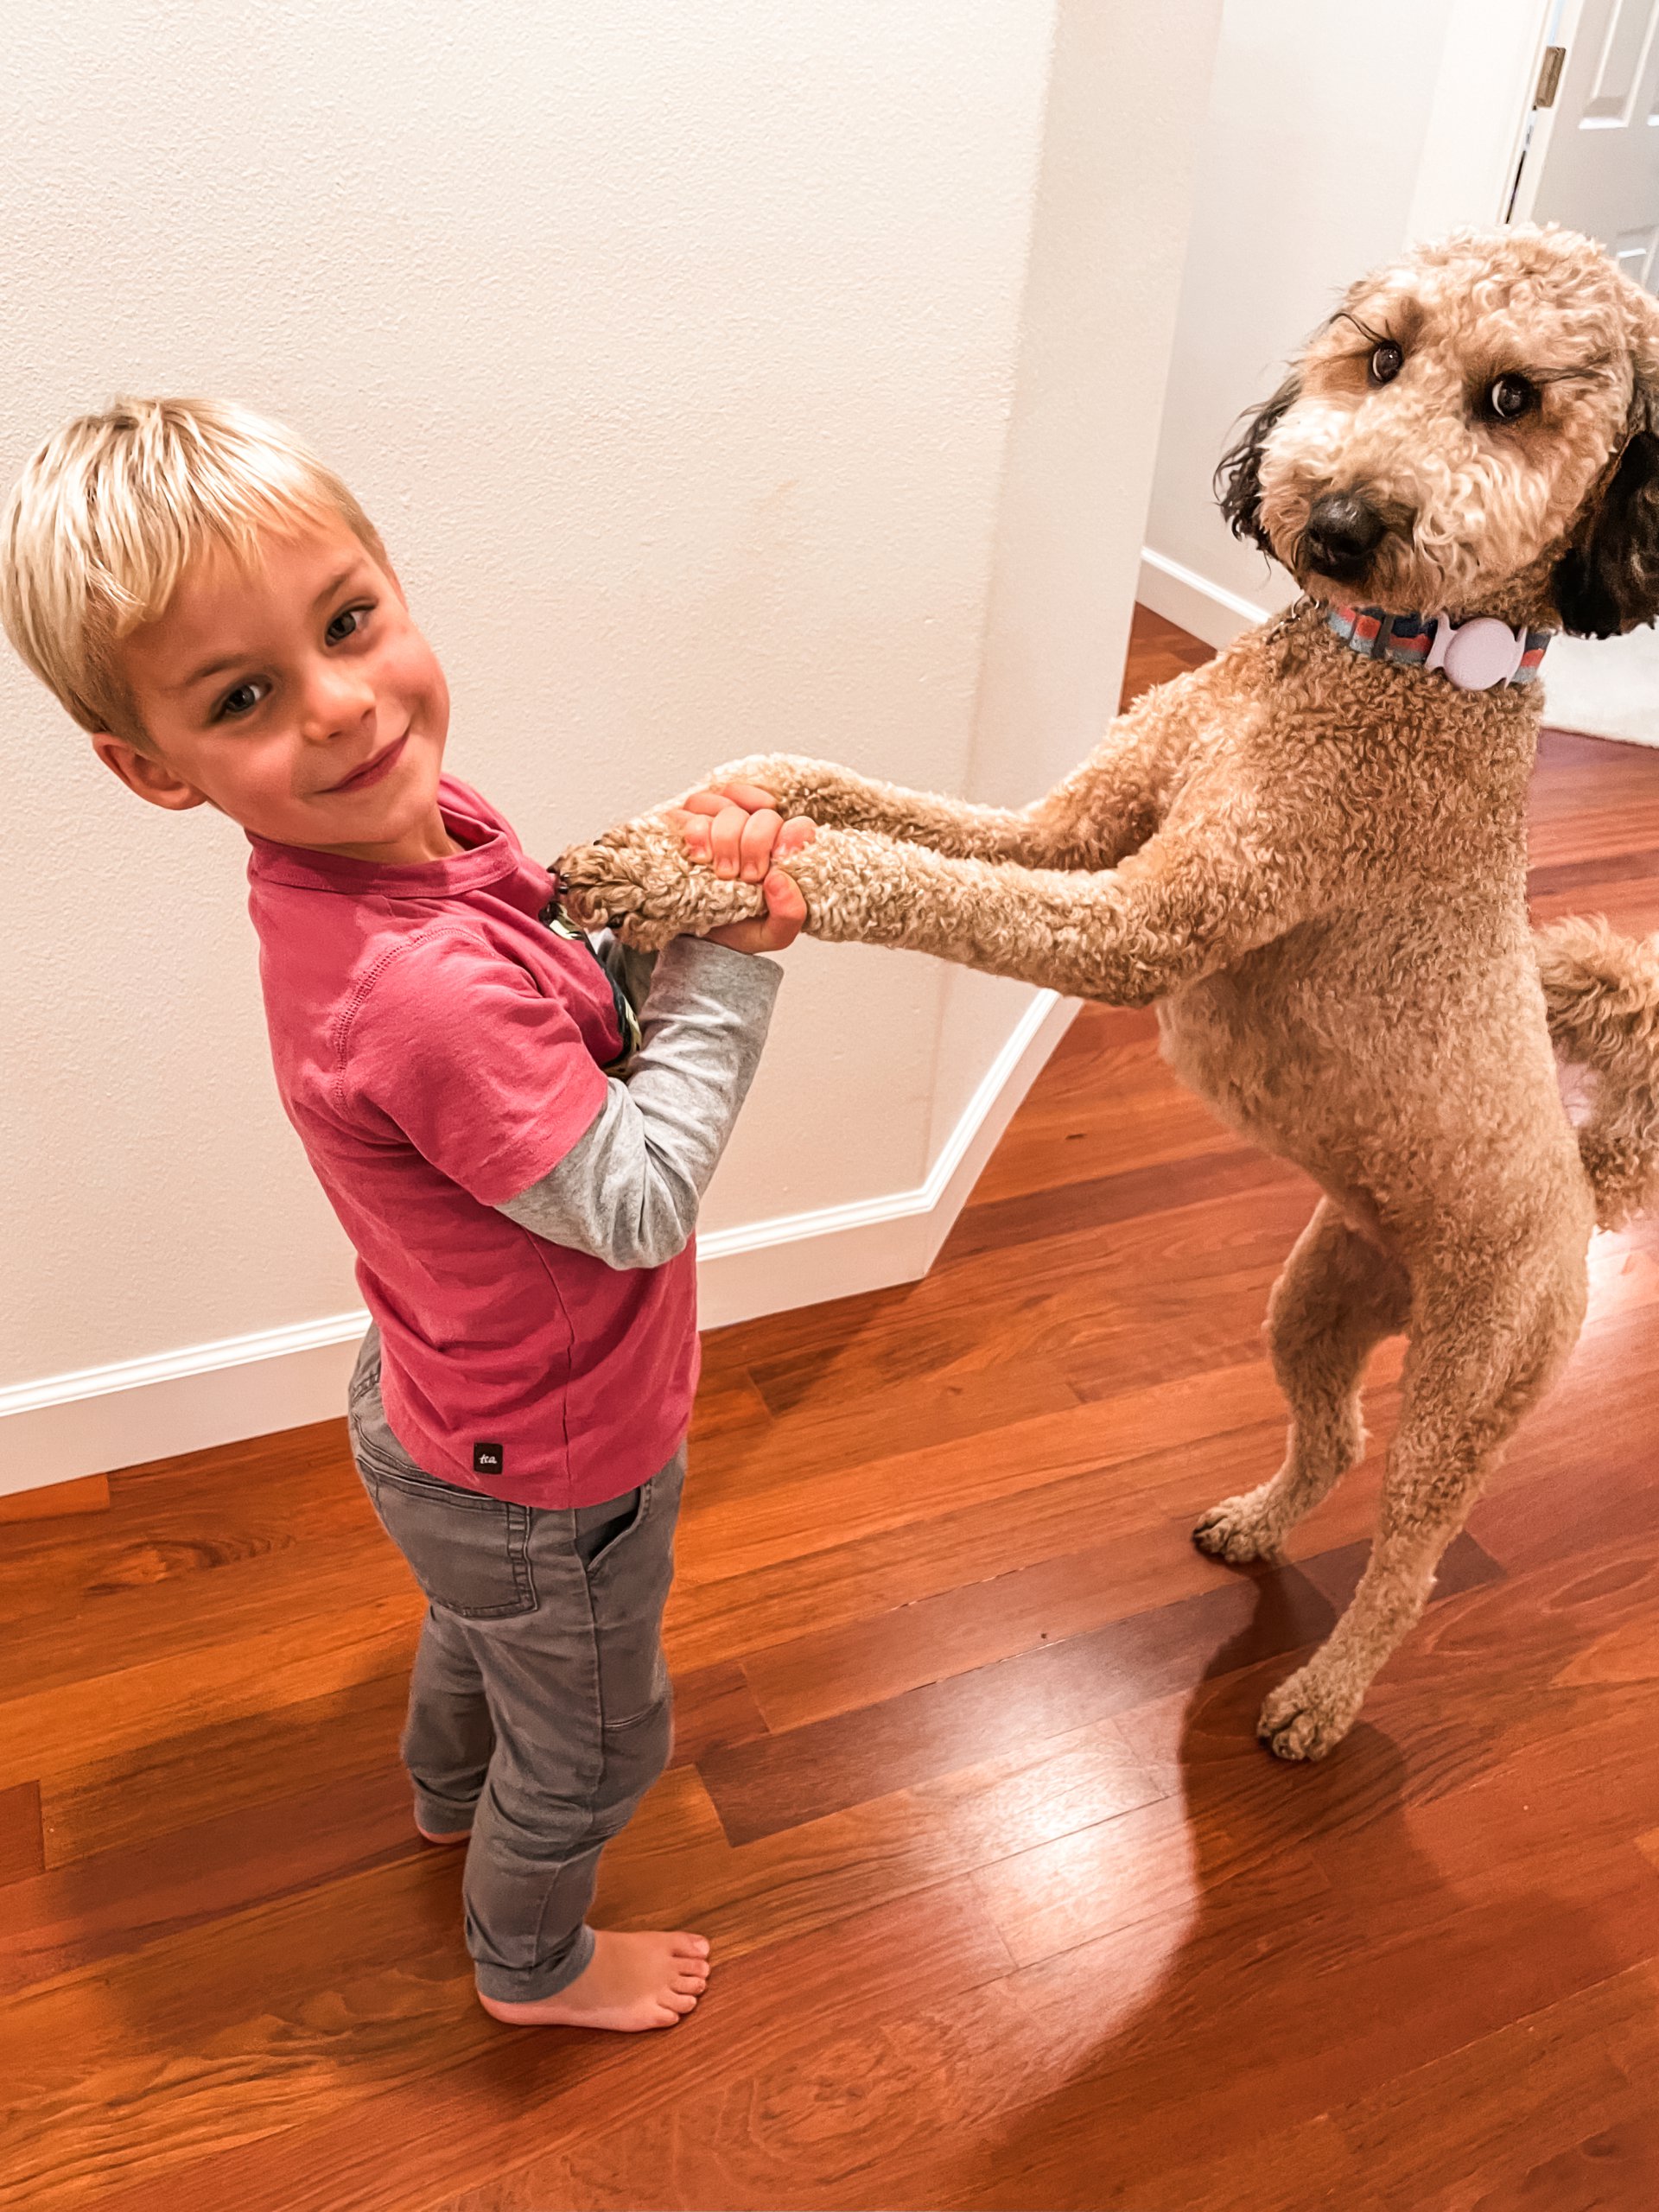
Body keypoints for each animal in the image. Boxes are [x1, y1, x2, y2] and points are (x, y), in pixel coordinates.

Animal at [566, 228, 1659, 1760]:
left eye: (1512, 401)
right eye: (1382, 354)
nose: (1337, 521)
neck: (1374, 663)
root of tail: (1584, 1186)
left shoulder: (1133, 925)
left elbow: (888, 875)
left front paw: (687, 871)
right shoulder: (1075, 829)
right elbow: (868, 801)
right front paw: (732, 796)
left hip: (1473, 1387)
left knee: (1411, 1559)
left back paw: (1319, 1703)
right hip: (1323, 1294)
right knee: (1334, 1434)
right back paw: (1256, 1527)